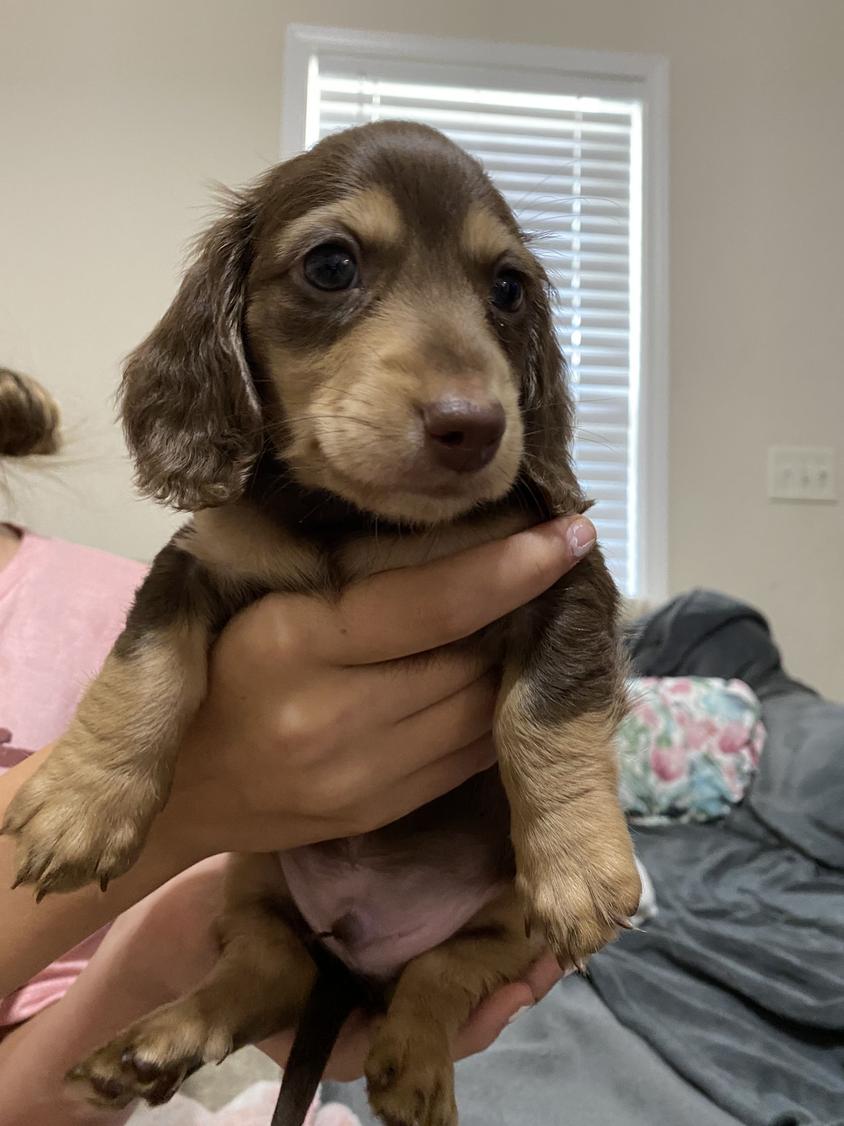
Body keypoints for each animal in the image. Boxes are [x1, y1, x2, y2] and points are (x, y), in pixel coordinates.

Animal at [1, 123, 639, 1126]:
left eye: (507, 288)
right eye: (331, 265)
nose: (474, 426)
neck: (354, 521)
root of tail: (359, 951)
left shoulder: (565, 573)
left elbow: (544, 712)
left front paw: (579, 861)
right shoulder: (197, 560)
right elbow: (145, 665)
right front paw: (83, 800)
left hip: (505, 926)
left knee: (439, 974)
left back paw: (415, 1065)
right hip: (253, 876)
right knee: (271, 968)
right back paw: (152, 1045)